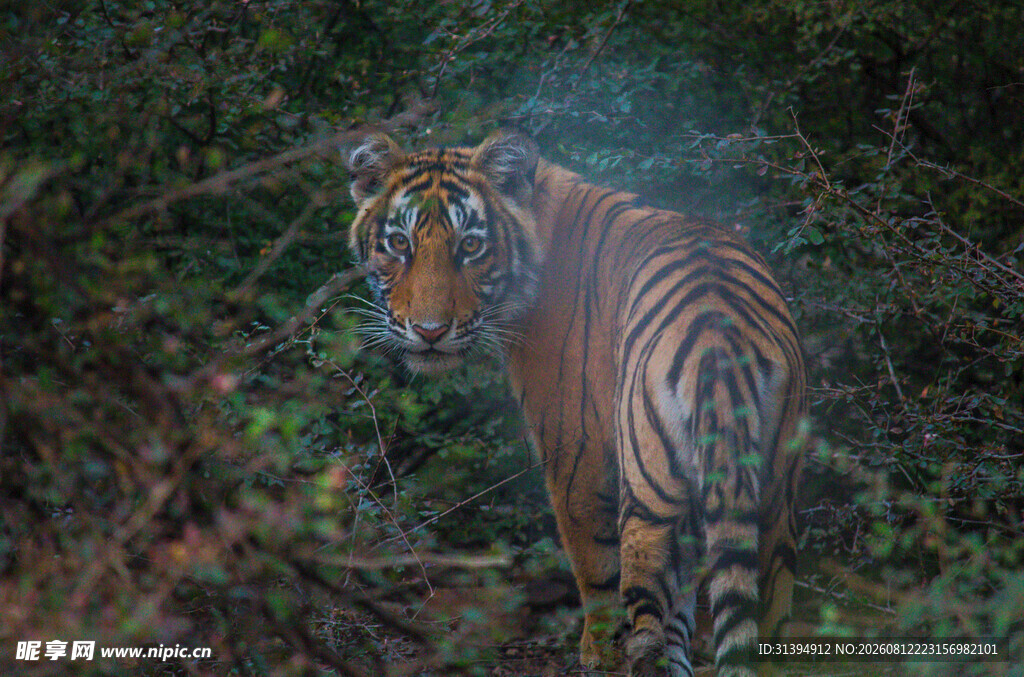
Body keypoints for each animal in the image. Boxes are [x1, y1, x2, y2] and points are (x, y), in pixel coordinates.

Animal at [345, 129, 806, 677]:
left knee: (646, 612)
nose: (430, 332)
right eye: (399, 243)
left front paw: (594, 652)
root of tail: (720, 335)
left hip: (649, 486)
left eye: (471, 246)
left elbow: (594, 566)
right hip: (773, 498)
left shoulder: (574, 447)